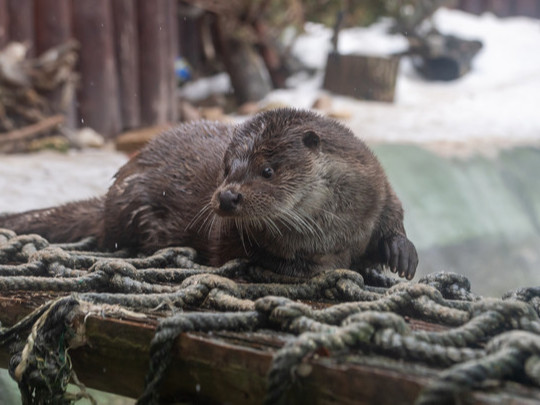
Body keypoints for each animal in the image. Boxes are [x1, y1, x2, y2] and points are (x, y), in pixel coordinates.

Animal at [1, 109, 418, 280]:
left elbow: (393, 217)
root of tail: (106, 201)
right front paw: (308, 264)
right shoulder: (228, 236)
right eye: (227, 168)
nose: (227, 198)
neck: (333, 231)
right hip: (130, 204)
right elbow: (244, 253)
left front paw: (399, 252)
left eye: (268, 170)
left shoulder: (379, 189)